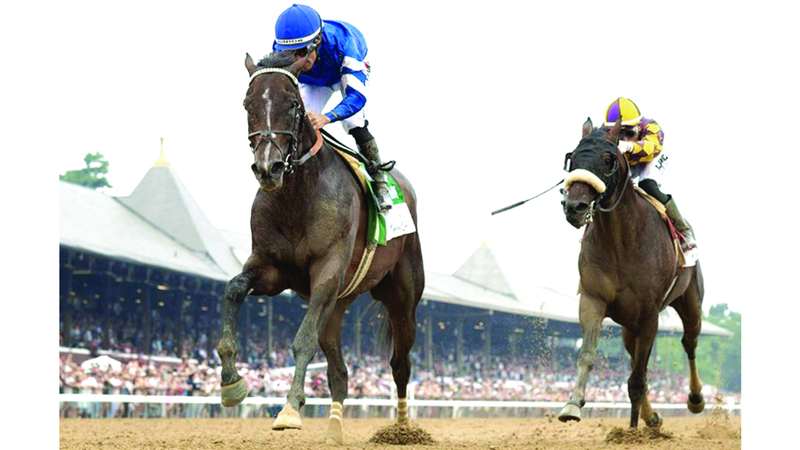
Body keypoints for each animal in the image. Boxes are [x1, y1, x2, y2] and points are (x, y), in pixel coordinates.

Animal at [215, 51, 425, 444]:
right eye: (247, 103)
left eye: (293, 104)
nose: (268, 168)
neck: (297, 196)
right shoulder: (271, 268)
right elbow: (233, 289)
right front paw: (231, 381)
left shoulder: (327, 270)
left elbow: (303, 340)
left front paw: (289, 409)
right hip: (337, 305)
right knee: (339, 373)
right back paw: (334, 430)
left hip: (401, 296)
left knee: (400, 364)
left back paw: (403, 429)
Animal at [558, 117, 705, 428]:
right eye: (572, 158)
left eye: (608, 159)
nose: (574, 207)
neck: (621, 242)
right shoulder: (593, 299)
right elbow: (588, 355)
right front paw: (572, 404)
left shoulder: (649, 314)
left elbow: (637, 380)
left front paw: (632, 430)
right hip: (628, 325)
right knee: (635, 356)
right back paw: (652, 417)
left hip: (691, 303)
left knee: (689, 344)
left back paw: (695, 399)